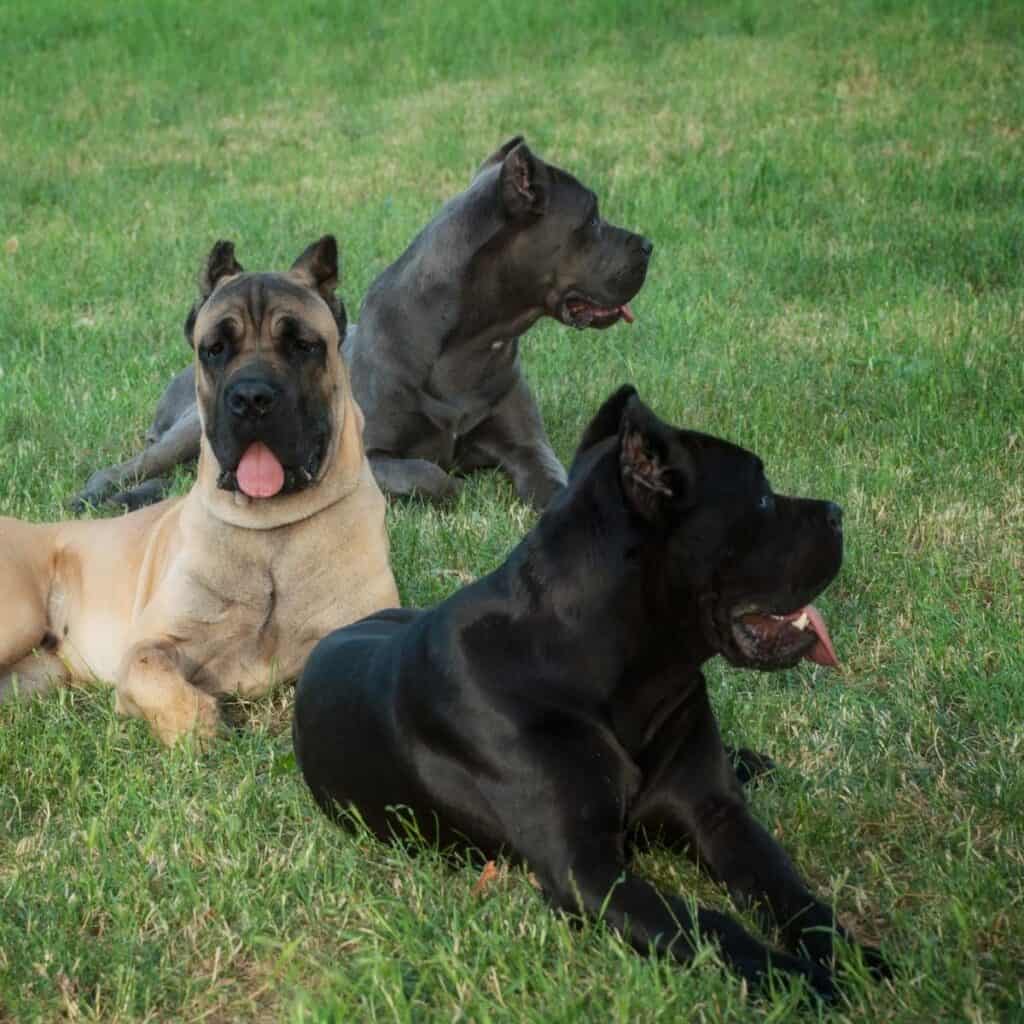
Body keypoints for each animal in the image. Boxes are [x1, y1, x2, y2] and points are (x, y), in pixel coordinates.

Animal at [0, 234, 399, 745]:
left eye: (303, 345)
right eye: (214, 348)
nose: (251, 397)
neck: (271, 530)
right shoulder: (152, 644)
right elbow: (156, 677)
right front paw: (203, 725)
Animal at [72, 138, 651, 512]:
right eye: (592, 218)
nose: (648, 244)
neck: (468, 344)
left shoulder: (527, 445)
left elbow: (550, 477)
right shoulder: (371, 454)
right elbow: (431, 475)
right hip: (191, 431)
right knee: (136, 467)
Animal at [292, 387, 884, 995]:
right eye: (763, 500)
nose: (837, 514)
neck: (615, 674)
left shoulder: (716, 813)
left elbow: (786, 887)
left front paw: (851, 958)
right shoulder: (587, 872)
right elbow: (705, 926)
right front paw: (799, 980)